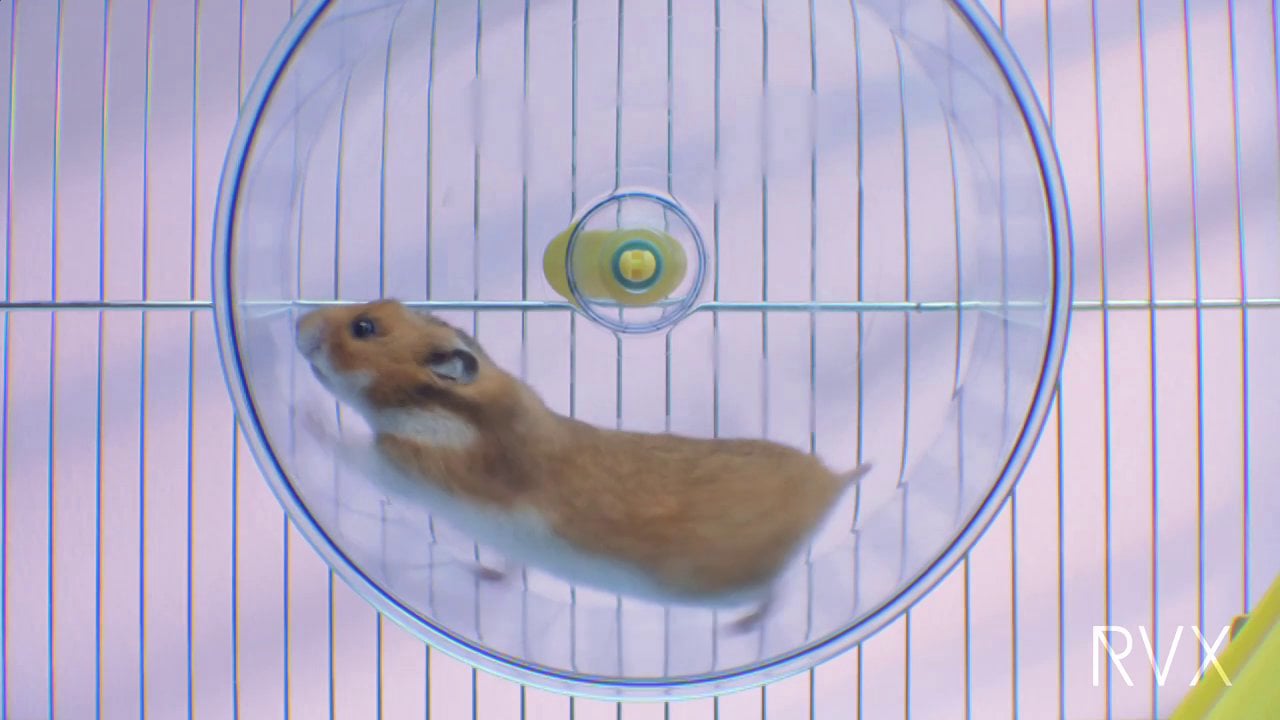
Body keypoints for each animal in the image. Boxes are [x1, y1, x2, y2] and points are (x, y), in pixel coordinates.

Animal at [295, 299, 870, 630]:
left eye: (365, 327)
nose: (297, 320)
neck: (439, 406)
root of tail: (832, 482)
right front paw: (486, 572)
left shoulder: (405, 466)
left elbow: (350, 448)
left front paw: (308, 416)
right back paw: (483, 573)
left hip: (731, 582)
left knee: (778, 592)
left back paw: (740, 629)